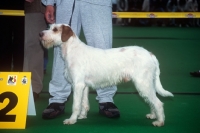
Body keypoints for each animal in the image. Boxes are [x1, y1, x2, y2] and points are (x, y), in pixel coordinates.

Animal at [39, 23, 173, 127]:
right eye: (50, 27)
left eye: (55, 29)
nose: (40, 34)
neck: (72, 49)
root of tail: (150, 54)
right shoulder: (84, 86)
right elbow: (83, 103)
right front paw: (82, 116)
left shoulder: (77, 85)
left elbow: (76, 105)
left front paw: (72, 120)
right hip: (147, 83)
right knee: (152, 100)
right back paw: (153, 115)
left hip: (143, 83)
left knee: (158, 103)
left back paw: (159, 122)